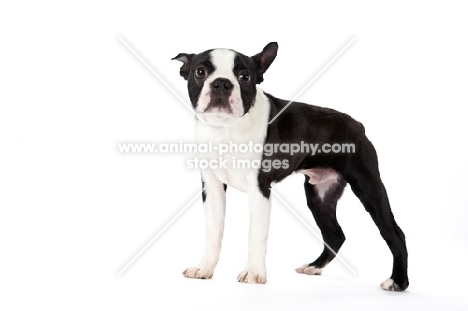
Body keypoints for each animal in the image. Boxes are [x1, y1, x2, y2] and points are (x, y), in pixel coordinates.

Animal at [174, 42, 408, 292]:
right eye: (200, 72)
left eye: (245, 76)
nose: (222, 83)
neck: (225, 128)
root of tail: (357, 124)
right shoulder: (213, 187)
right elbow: (213, 231)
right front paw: (205, 268)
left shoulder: (259, 189)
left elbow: (256, 234)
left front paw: (254, 272)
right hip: (319, 195)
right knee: (335, 234)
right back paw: (314, 267)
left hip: (367, 185)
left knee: (394, 233)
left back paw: (398, 281)